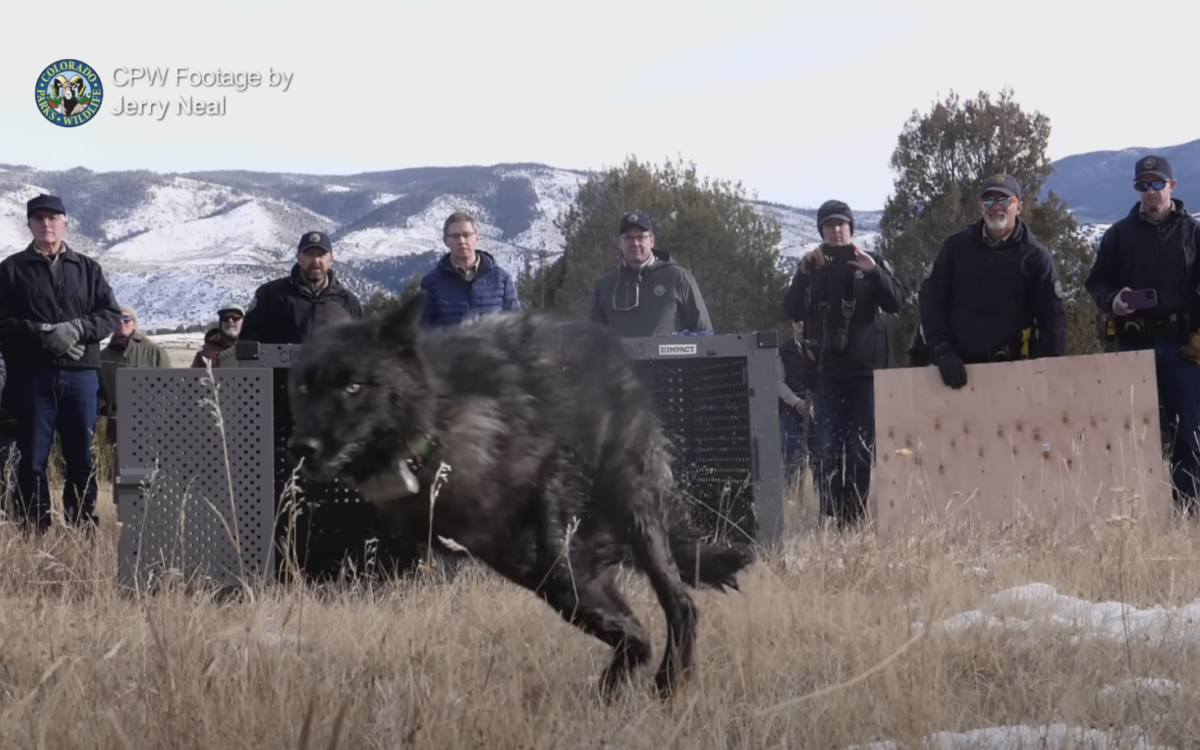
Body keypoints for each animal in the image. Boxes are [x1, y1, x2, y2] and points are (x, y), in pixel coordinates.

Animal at [284, 291, 756, 698]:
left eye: (353, 387)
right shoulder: (514, 558)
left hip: (635, 508)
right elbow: (595, 611)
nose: (301, 447)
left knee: (682, 603)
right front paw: (621, 668)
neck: (436, 422)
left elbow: (564, 565)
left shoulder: (555, 476)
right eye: (304, 388)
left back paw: (670, 683)